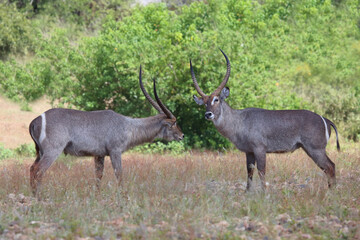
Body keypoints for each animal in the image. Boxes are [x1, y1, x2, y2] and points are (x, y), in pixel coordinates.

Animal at [28, 66, 183, 195]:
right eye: (174, 123)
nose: (182, 135)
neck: (128, 126)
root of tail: (36, 119)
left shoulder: (99, 155)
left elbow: (98, 176)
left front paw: (97, 197)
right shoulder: (115, 151)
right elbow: (119, 175)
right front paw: (123, 197)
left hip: (40, 152)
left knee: (31, 168)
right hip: (52, 151)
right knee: (38, 171)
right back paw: (39, 198)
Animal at [191, 49, 340, 190]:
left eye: (216, 99)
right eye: (204, 102)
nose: (208, 114)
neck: (239, 121)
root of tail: (325, 119)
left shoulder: (260, 149)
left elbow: (261, 171)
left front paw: (263, 193)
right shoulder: (249, 151)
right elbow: (249, 172)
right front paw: (247, 192)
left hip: (315, 149)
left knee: (330, 166)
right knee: (329, 167)